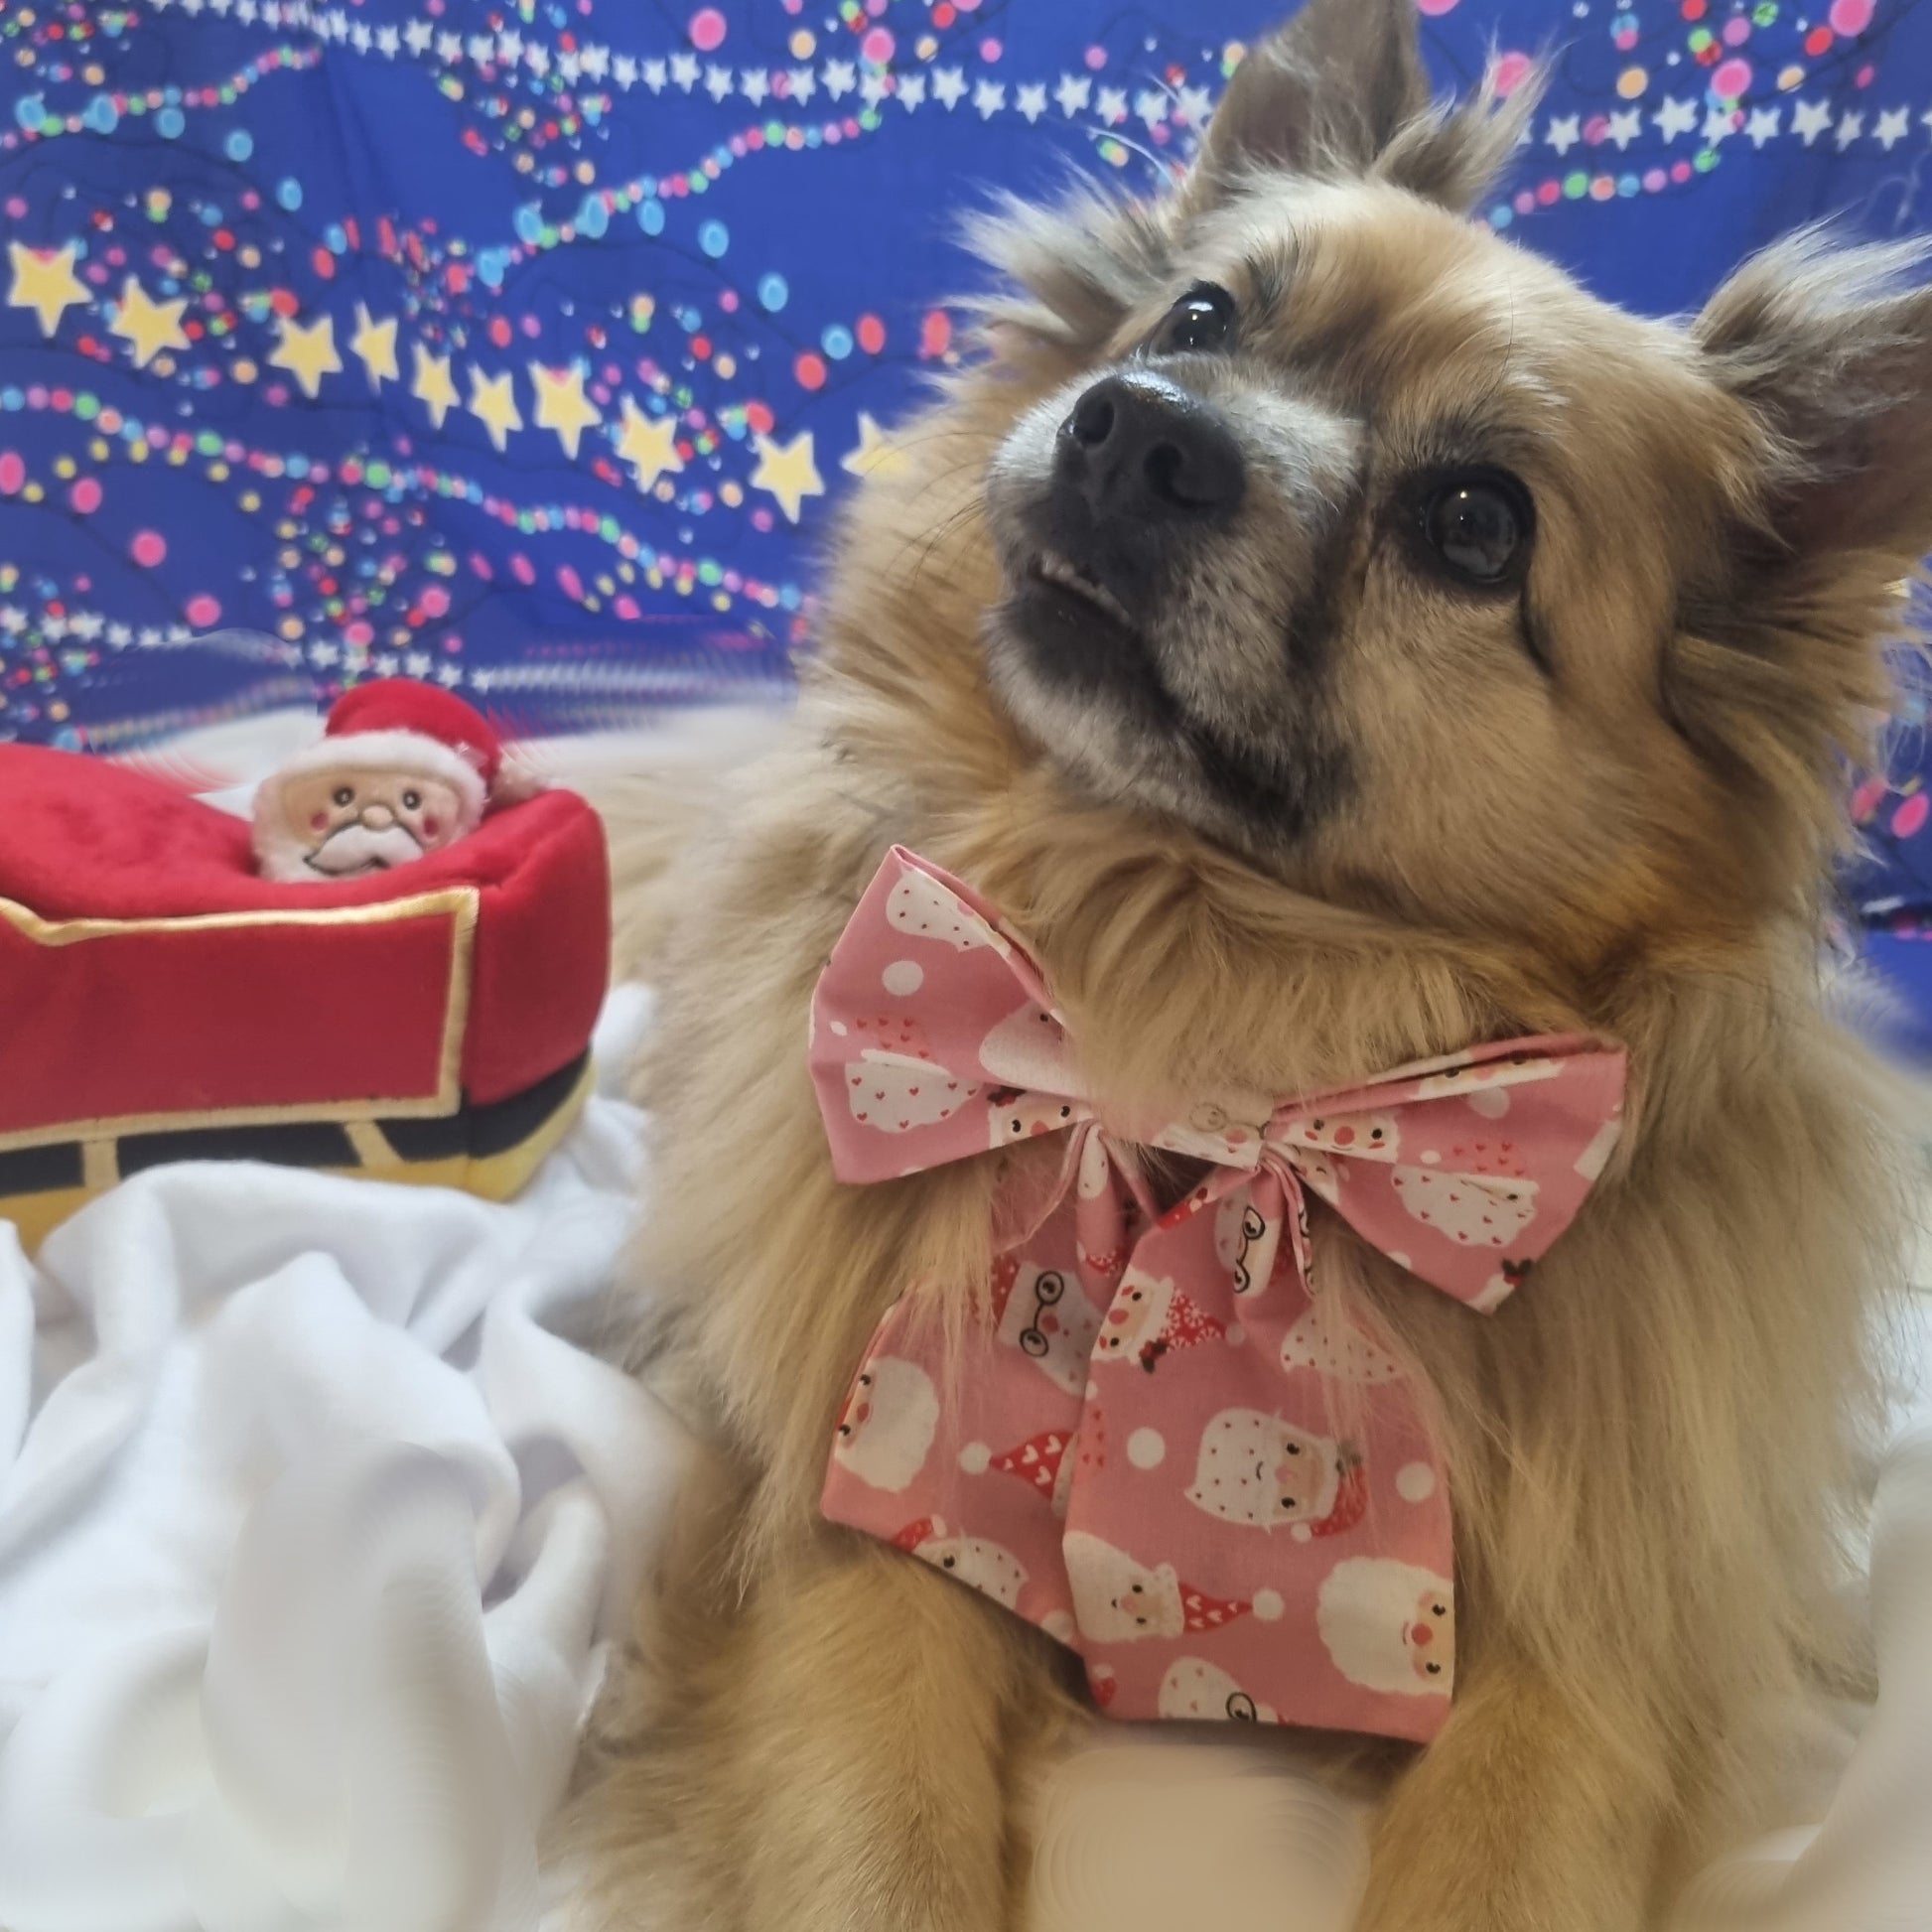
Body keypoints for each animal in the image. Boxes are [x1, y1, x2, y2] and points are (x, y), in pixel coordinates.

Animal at [564, 7, 1924, 1924]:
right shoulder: (870, 1495)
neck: (1207, 1028)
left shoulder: (1593, 1630)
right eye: (1200, 315)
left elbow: (1511, 1859)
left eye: (1475, 523)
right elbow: (874, 1843)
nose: (1134, 430)